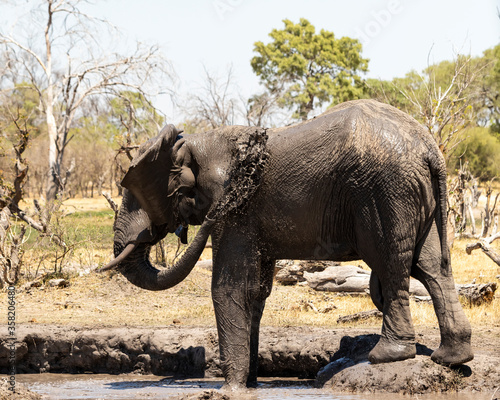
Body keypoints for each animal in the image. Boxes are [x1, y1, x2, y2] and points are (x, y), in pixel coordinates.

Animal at [100, 99, 472, 390]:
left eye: (133, 197)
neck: (197, 141)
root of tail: (429, 148)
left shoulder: (235, 209)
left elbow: (228, 287)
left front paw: (230, 389)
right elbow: (255, 291)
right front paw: (250, 384)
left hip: (384, 192)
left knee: (392, 263)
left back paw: (386, 356)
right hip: (416, 194)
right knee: (432, 267)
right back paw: (451, 357)